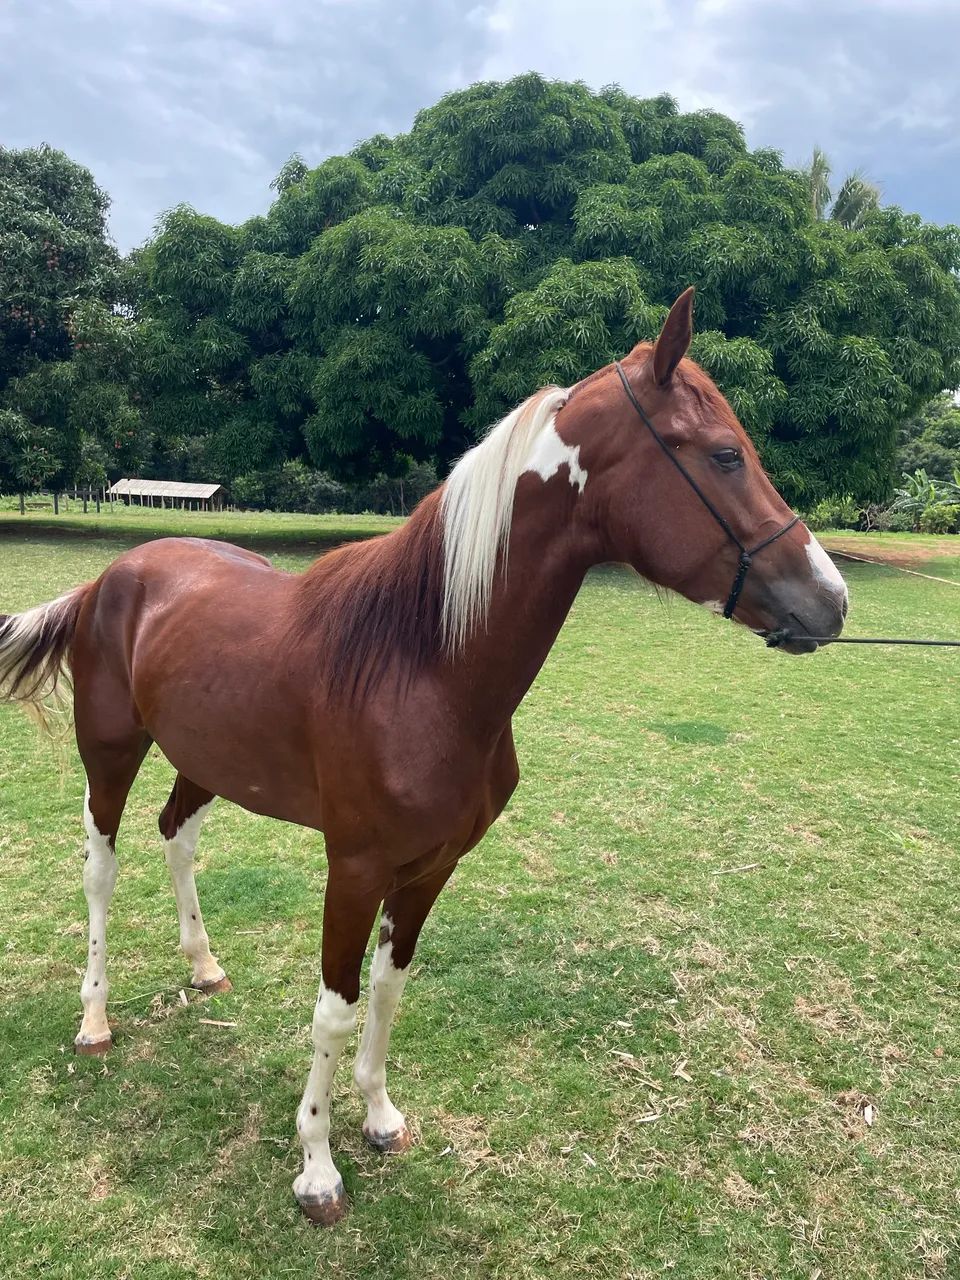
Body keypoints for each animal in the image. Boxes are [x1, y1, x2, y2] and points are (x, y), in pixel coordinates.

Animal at [0, 289, 847, 1224]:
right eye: (726, 455)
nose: (832, 600)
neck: (424, 665)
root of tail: (114, 574)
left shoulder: (431, 867)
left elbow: (388, 990)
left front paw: (378, 1117)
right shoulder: (356, 868)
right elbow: (334, 1013)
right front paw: (318, 1168)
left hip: (207, 762)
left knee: (177, 836)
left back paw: (205, 966)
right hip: (110, 755)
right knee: (101, 869)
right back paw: (95, 1021)